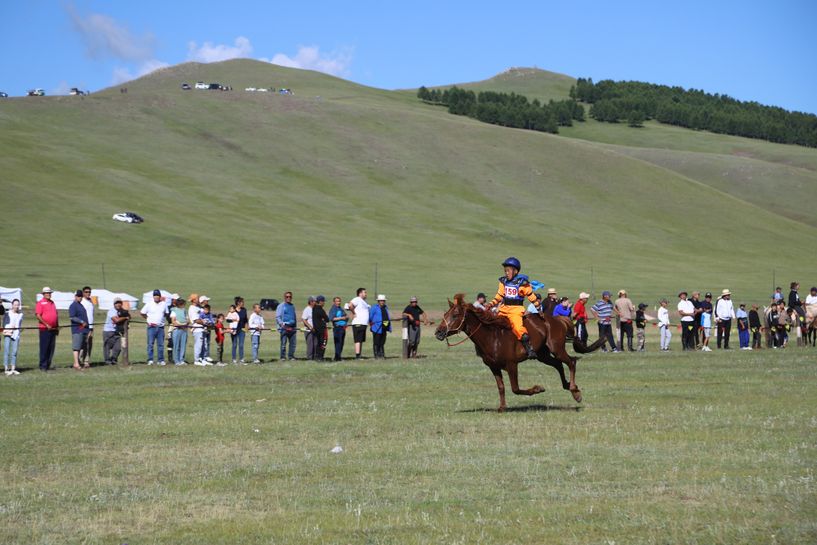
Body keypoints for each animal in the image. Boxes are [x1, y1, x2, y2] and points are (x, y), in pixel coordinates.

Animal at [434, 296, 604, 410]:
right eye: (446, 314)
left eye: (455, 315)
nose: (438, 332)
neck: (492, 335)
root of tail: (559, 319)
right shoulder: (493, 367)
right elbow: (501, 387)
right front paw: (502, 407)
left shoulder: (511, 365)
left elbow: (515, 388)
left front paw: (538, 389)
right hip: (542, 355)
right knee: (558, 365)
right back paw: (568, 386)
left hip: (557, 349)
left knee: (571, 362)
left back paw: (575, 391)